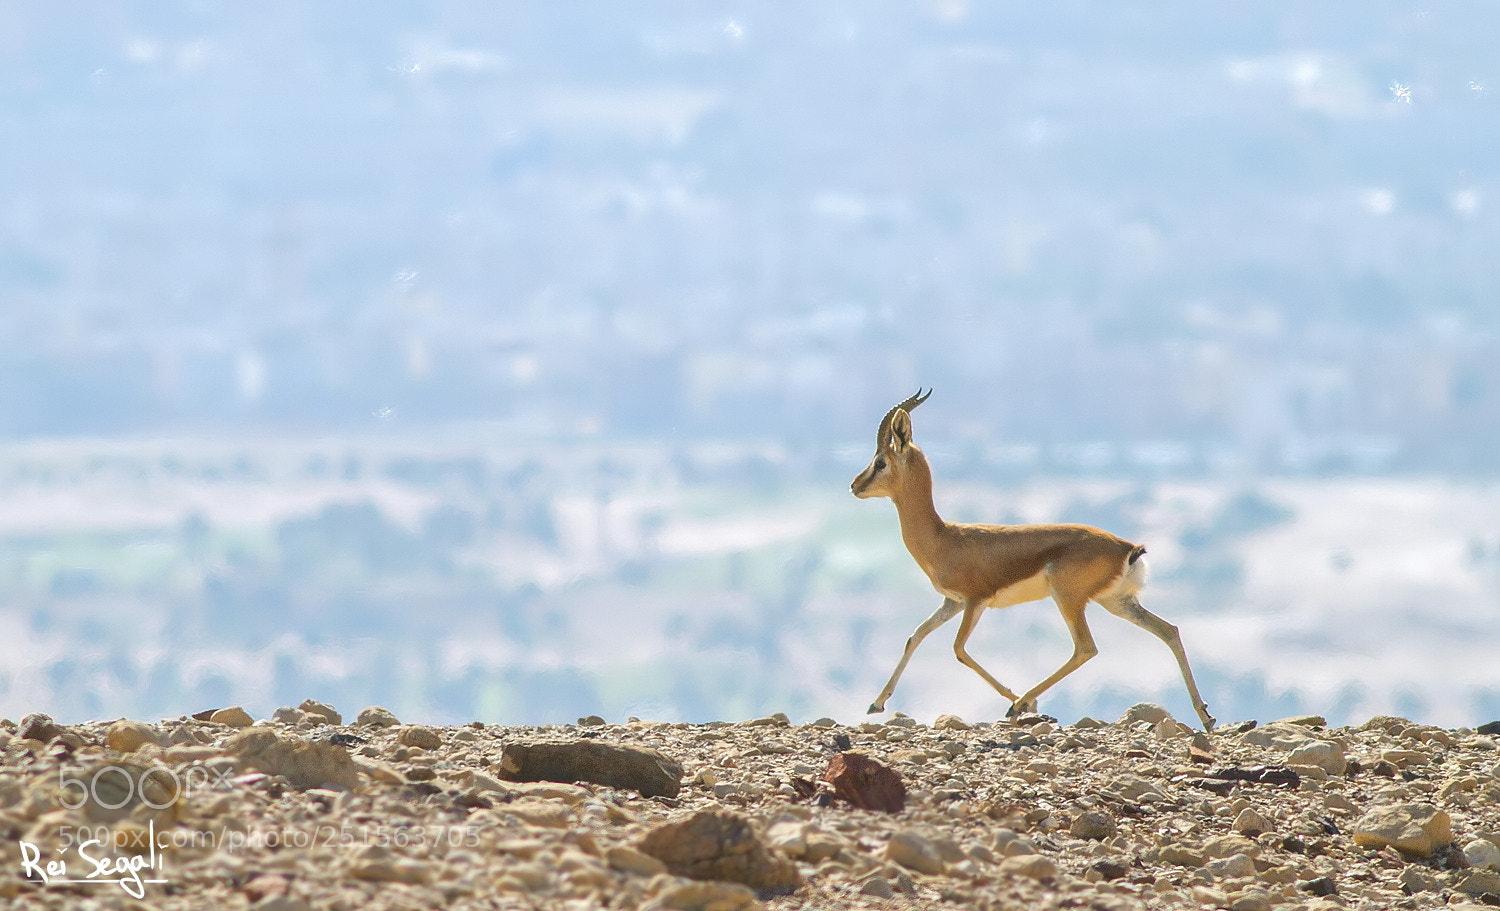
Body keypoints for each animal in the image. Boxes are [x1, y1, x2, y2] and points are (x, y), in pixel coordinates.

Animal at [851, 390, 1216, 730]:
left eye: (881, 461)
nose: (855, 486)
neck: (945, 538)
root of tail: (1128, 549)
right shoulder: (951, 602)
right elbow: (915, 636)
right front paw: (875, 704)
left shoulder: (975, 601)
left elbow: (958, 649)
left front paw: (1019, 701)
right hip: (1118, 601)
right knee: (1168, 630)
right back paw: (1206, 716)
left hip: (1068, 599)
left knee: (1085, 648)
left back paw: (1022, 703)